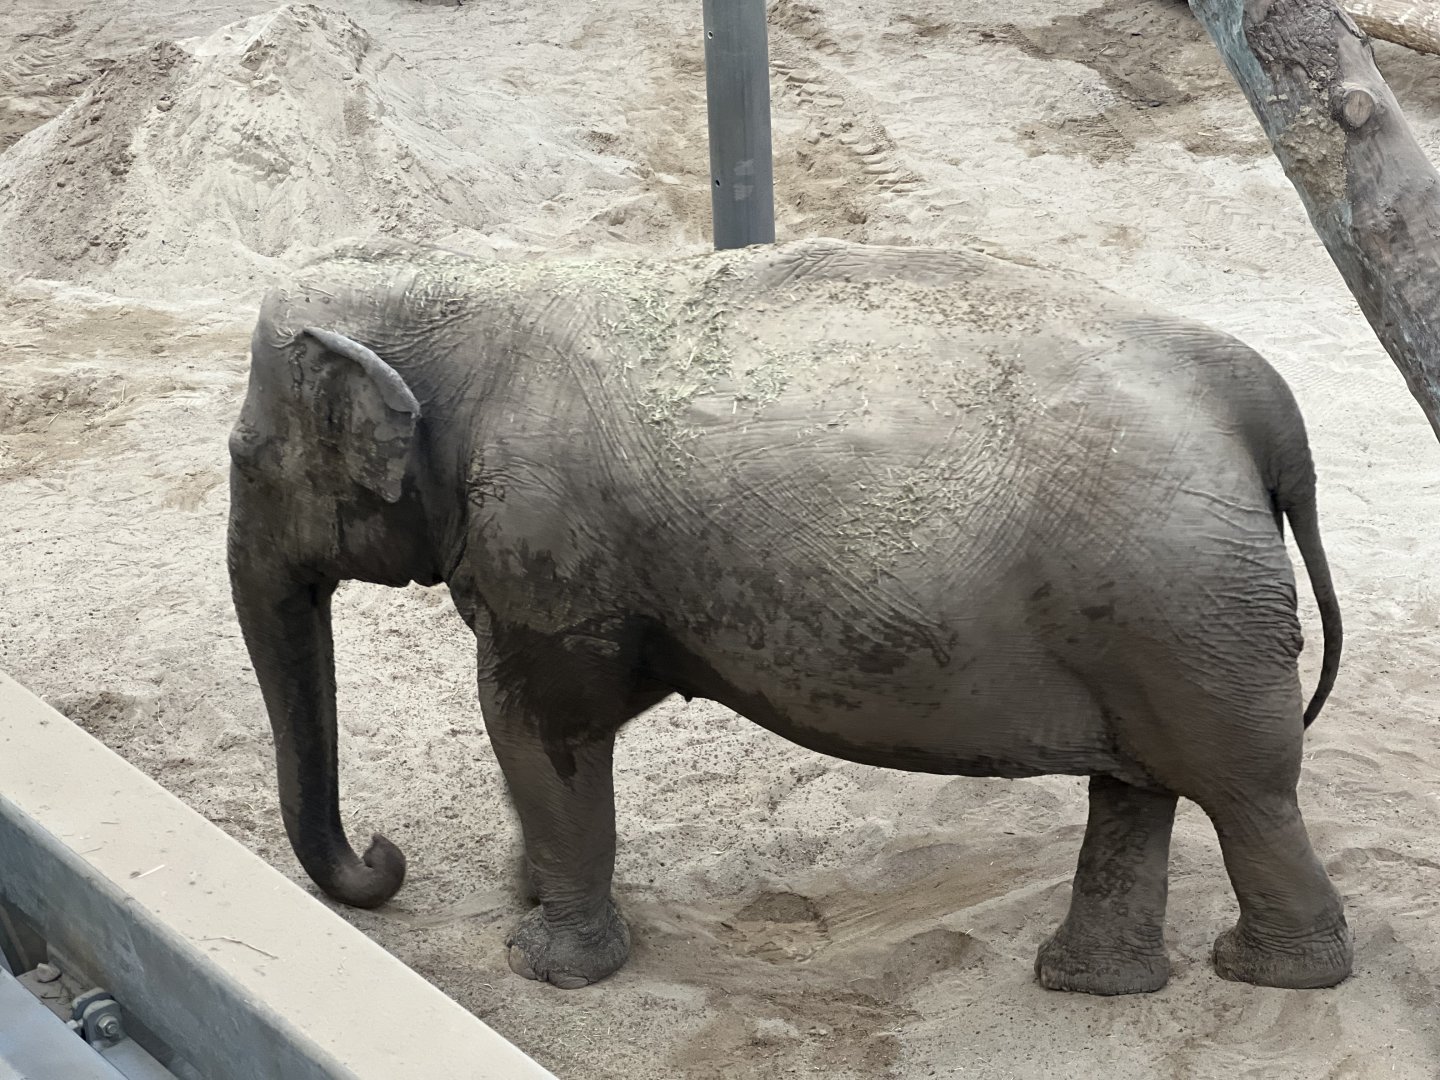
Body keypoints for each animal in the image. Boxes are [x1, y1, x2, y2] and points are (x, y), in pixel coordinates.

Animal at [227, 235, 1350, 995]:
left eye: (243, 455)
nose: (384, 859)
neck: (467, 282)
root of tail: (1263, 406)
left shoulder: (548, 542)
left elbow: (536, 721)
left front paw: (543, 960)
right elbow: (558, 726)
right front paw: (527, 891)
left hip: (1185, 605)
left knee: (1245, 790)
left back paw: (1271, 973)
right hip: (1157, 615)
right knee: (1142, 787)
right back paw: (1091, 983)